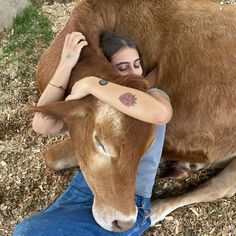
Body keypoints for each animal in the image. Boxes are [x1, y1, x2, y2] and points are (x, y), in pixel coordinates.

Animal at [29, 0, 236, 232]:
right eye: (101, 144)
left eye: (147, 147)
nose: (124, 221)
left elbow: (50, 155)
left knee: (219, 187)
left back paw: (156, 208)